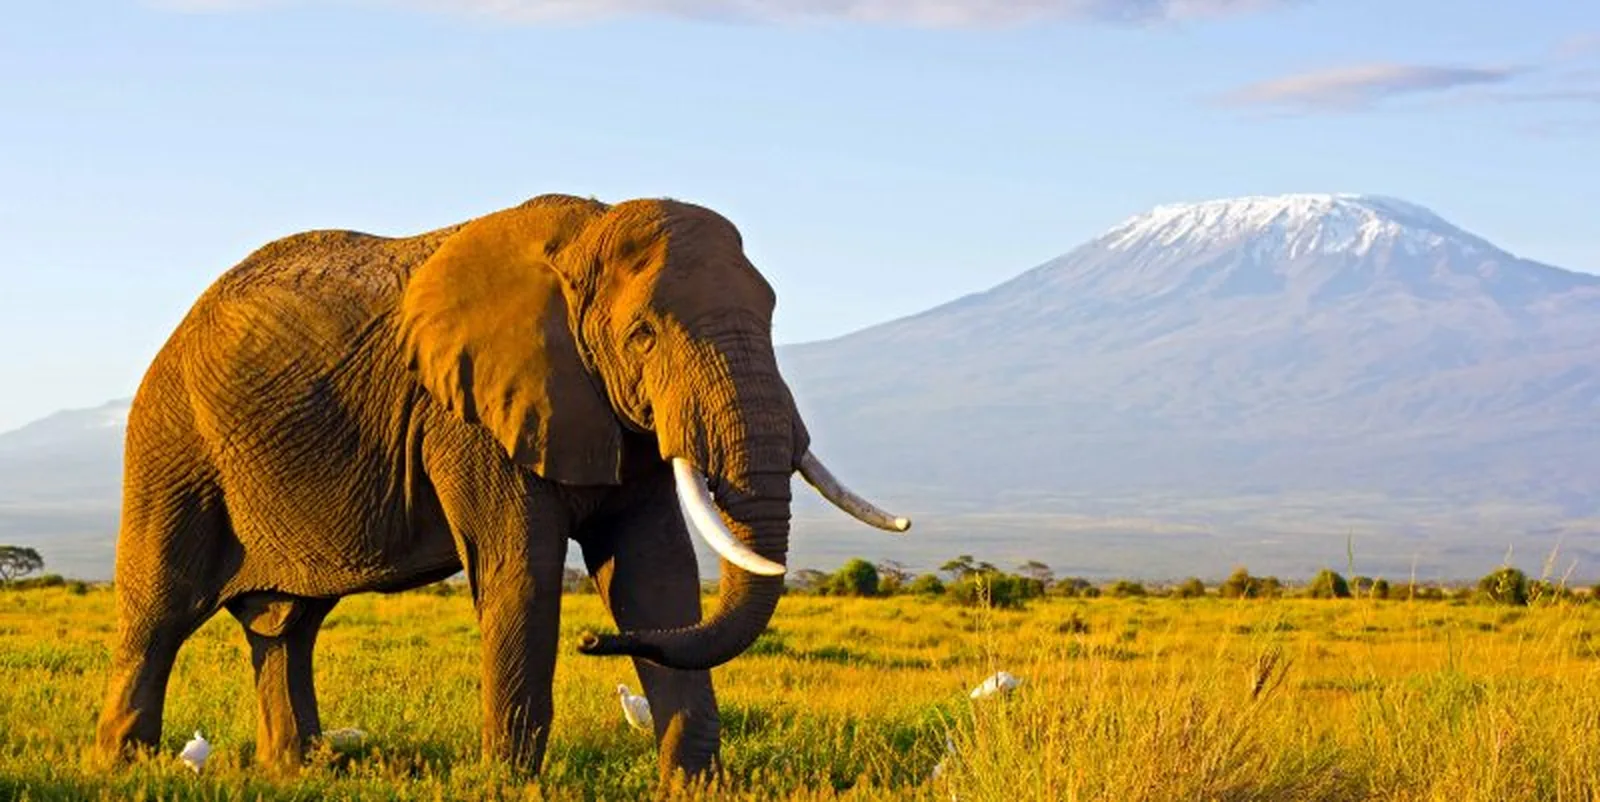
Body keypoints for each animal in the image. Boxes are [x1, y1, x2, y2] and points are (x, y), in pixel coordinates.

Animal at [92, 193, 910, 782]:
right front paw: (509, 784)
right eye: (643, 337)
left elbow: (655, 580)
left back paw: (296, 771)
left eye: (772, 318)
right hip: (173, 442)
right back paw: (125, 767)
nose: (593, 641)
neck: (583, 240)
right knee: (159, 609)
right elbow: (522, 570)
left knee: (288, 626)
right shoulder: (470, 416)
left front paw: (694, 787)